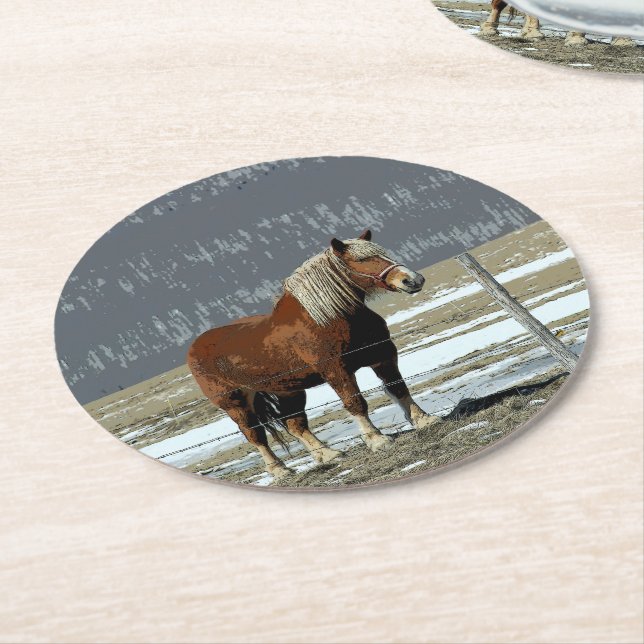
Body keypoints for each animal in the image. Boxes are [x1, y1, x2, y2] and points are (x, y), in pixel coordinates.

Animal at [187, 230, 440, 481]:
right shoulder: (337, 371)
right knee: (255, 436)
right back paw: (280, 470)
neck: (329, 319)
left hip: (289, 390)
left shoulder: (383, 355)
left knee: (295, 424)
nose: (412, 280)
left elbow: (398, 388)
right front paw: (377, 440)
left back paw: (327, 455)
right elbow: (355, 403)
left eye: (382, 253)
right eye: (361, 260)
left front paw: (424, 420)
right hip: (236, 403)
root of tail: (193, 349)